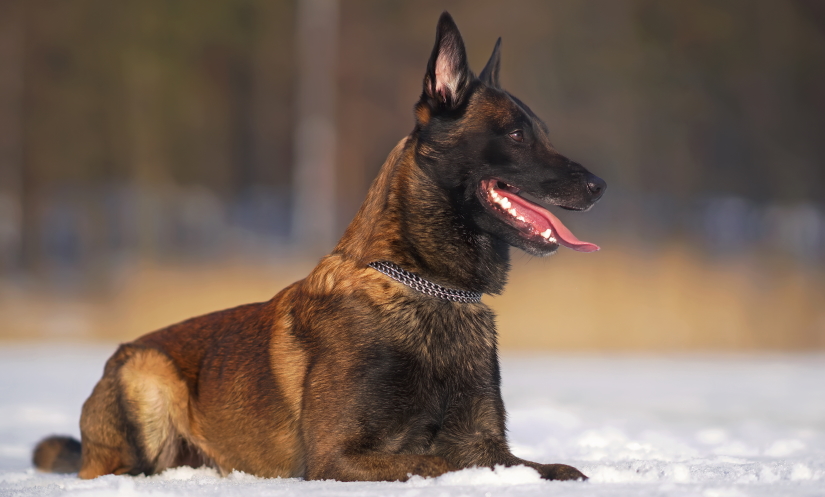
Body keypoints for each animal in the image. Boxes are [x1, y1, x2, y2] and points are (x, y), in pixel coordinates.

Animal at [33, 13, 604, 482]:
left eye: (542, 133)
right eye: (515, 135)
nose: (600, 186)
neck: (428, 288)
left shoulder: (487, 444)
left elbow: (541, 467)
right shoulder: (338, 458)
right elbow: (439, 462)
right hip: (147, 373)